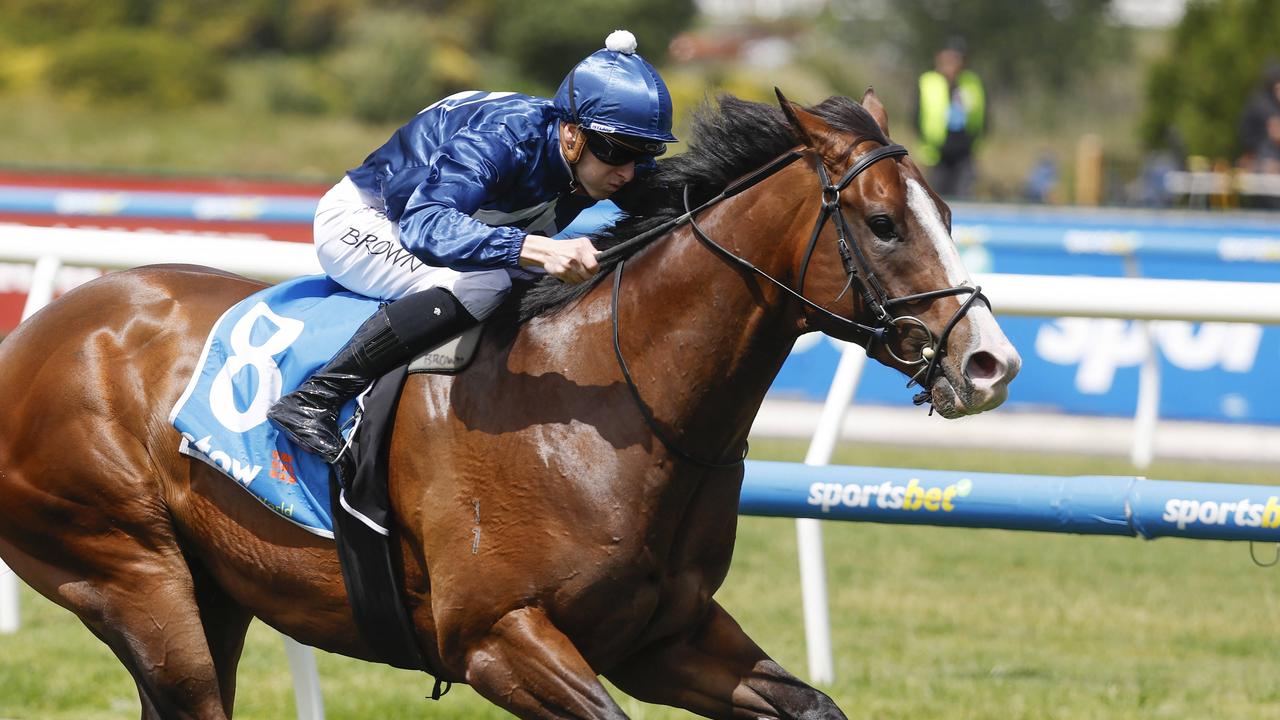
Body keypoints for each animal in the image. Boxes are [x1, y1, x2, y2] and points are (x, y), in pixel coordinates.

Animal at [0, 90, 1018, 717]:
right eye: (883, 224)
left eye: (950, 218)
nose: (990, 364)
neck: (618, 406)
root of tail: (38, 331)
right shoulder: (496, 637)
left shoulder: (666, 633)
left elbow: (810, 700)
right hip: (133, 573)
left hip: (214, 594)